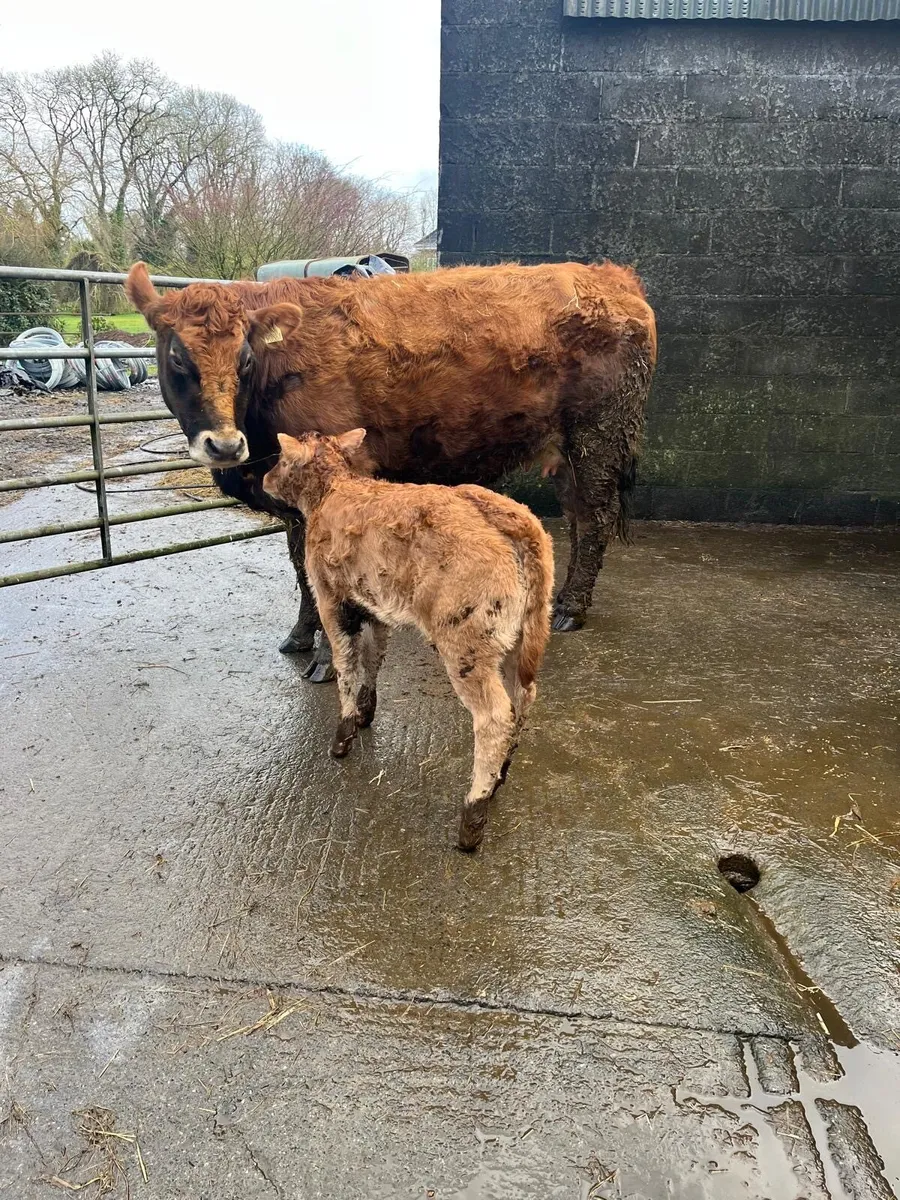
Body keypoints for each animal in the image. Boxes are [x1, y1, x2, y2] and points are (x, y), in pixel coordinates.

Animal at [125, 260, 656, 680]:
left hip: (597, 438)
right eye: (177, 357)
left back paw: (571, 609)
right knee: (578, 517)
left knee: (594, 520)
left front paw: (328, 658)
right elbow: (300, 567)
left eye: (246, 358)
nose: (224, 444)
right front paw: (300, 635)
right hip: (568, 453)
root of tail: (609, 276)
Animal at [262, 429, 555, 850]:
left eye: (281, 459)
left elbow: (345, 664)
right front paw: (365, 712)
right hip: (525, 632)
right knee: (524, 697)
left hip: (466, 641)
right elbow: (373, 658)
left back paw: (473, 816)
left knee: (494, 715)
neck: (335, 490)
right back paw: (500, 777)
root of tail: (511, 518)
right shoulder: (373, 604)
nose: (264, 479)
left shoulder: (331, 601)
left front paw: (343, 736)